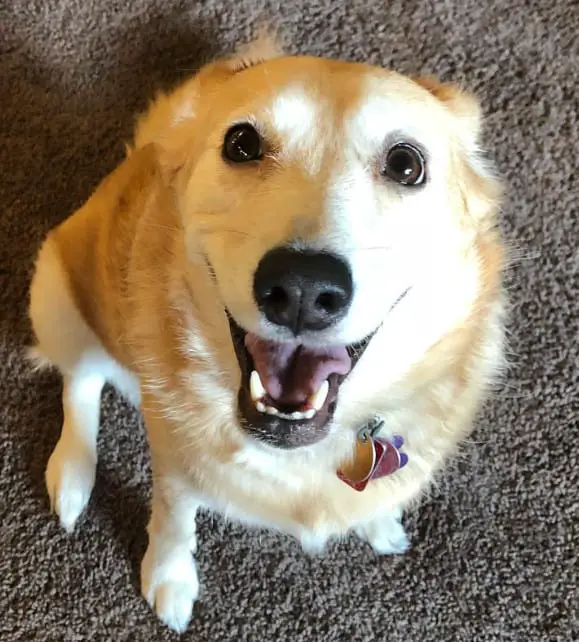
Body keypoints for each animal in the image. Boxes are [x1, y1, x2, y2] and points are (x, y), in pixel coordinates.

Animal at [29, 37, 506, 632]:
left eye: (406, 164)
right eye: (242, 143)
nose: (303, 289)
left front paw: (380, 523)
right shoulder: (177, 465)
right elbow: (173, 520)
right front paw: (169, 578)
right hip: (57, 292)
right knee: (81, 382)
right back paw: (72, 475)